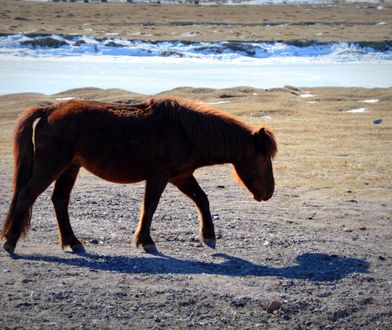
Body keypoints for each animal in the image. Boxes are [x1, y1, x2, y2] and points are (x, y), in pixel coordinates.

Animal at [0, 96, 276, 255]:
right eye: (263, 159)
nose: (269, 192)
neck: (185, 132)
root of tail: (49, 110)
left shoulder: (181, 176)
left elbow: (202, 199)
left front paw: (208, 236)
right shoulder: (160, 177)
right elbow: (150, 206)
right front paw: (145, 241)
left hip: (69, 168)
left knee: (59, 201)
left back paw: (73, 242)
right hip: (51, 166)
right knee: (27, 195)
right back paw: (11, 242)